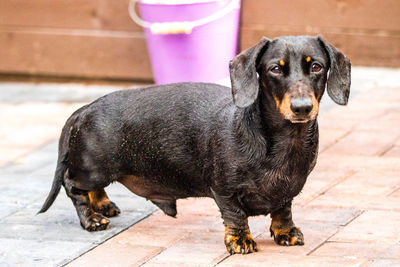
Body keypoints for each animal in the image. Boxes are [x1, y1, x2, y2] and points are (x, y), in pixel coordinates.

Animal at [38, 35, 350, 255]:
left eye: (317, 66)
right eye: (275, 69)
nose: (302, 108)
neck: (282, 141)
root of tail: (85, 109)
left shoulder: (288, 189)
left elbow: (283, 209)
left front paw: (286, 232)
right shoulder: (224, 190)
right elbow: (235, 215)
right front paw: (240, 240)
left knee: (91, 188)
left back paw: (103, 205)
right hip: (94, 168)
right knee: (73, 185)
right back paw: (91, 218)